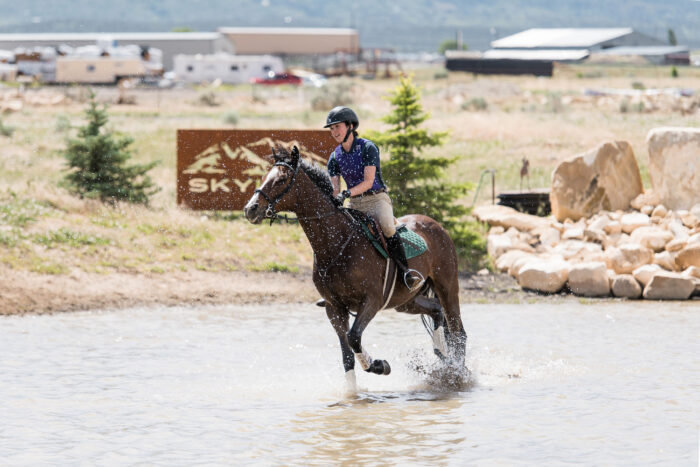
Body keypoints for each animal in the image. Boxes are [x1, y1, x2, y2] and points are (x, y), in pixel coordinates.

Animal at [243, 146, 467, 390]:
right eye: (265, 177)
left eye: (281, 179)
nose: (250, 209)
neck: (336, 245)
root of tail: (436, 225)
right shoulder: (334, 308)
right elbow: (347, 355)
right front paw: (353, 393)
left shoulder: (371, 301)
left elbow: (354, 338)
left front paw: (380, 366)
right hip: (406, 301)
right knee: (436, 311)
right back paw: (442, 355)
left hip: (446, 286)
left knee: (458, 331)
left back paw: (458, 374)